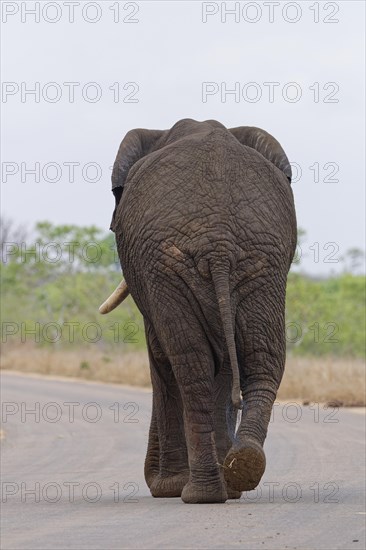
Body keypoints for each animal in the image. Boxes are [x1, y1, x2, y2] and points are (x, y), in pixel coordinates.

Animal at [100, 119, 298, 504]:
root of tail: (219, 245)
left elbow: (162, 354)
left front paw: (166, 487)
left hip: (173, 263)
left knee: (189, 362)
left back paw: (198, 491)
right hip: (260, 259)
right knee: (261, 356)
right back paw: (240, 469)